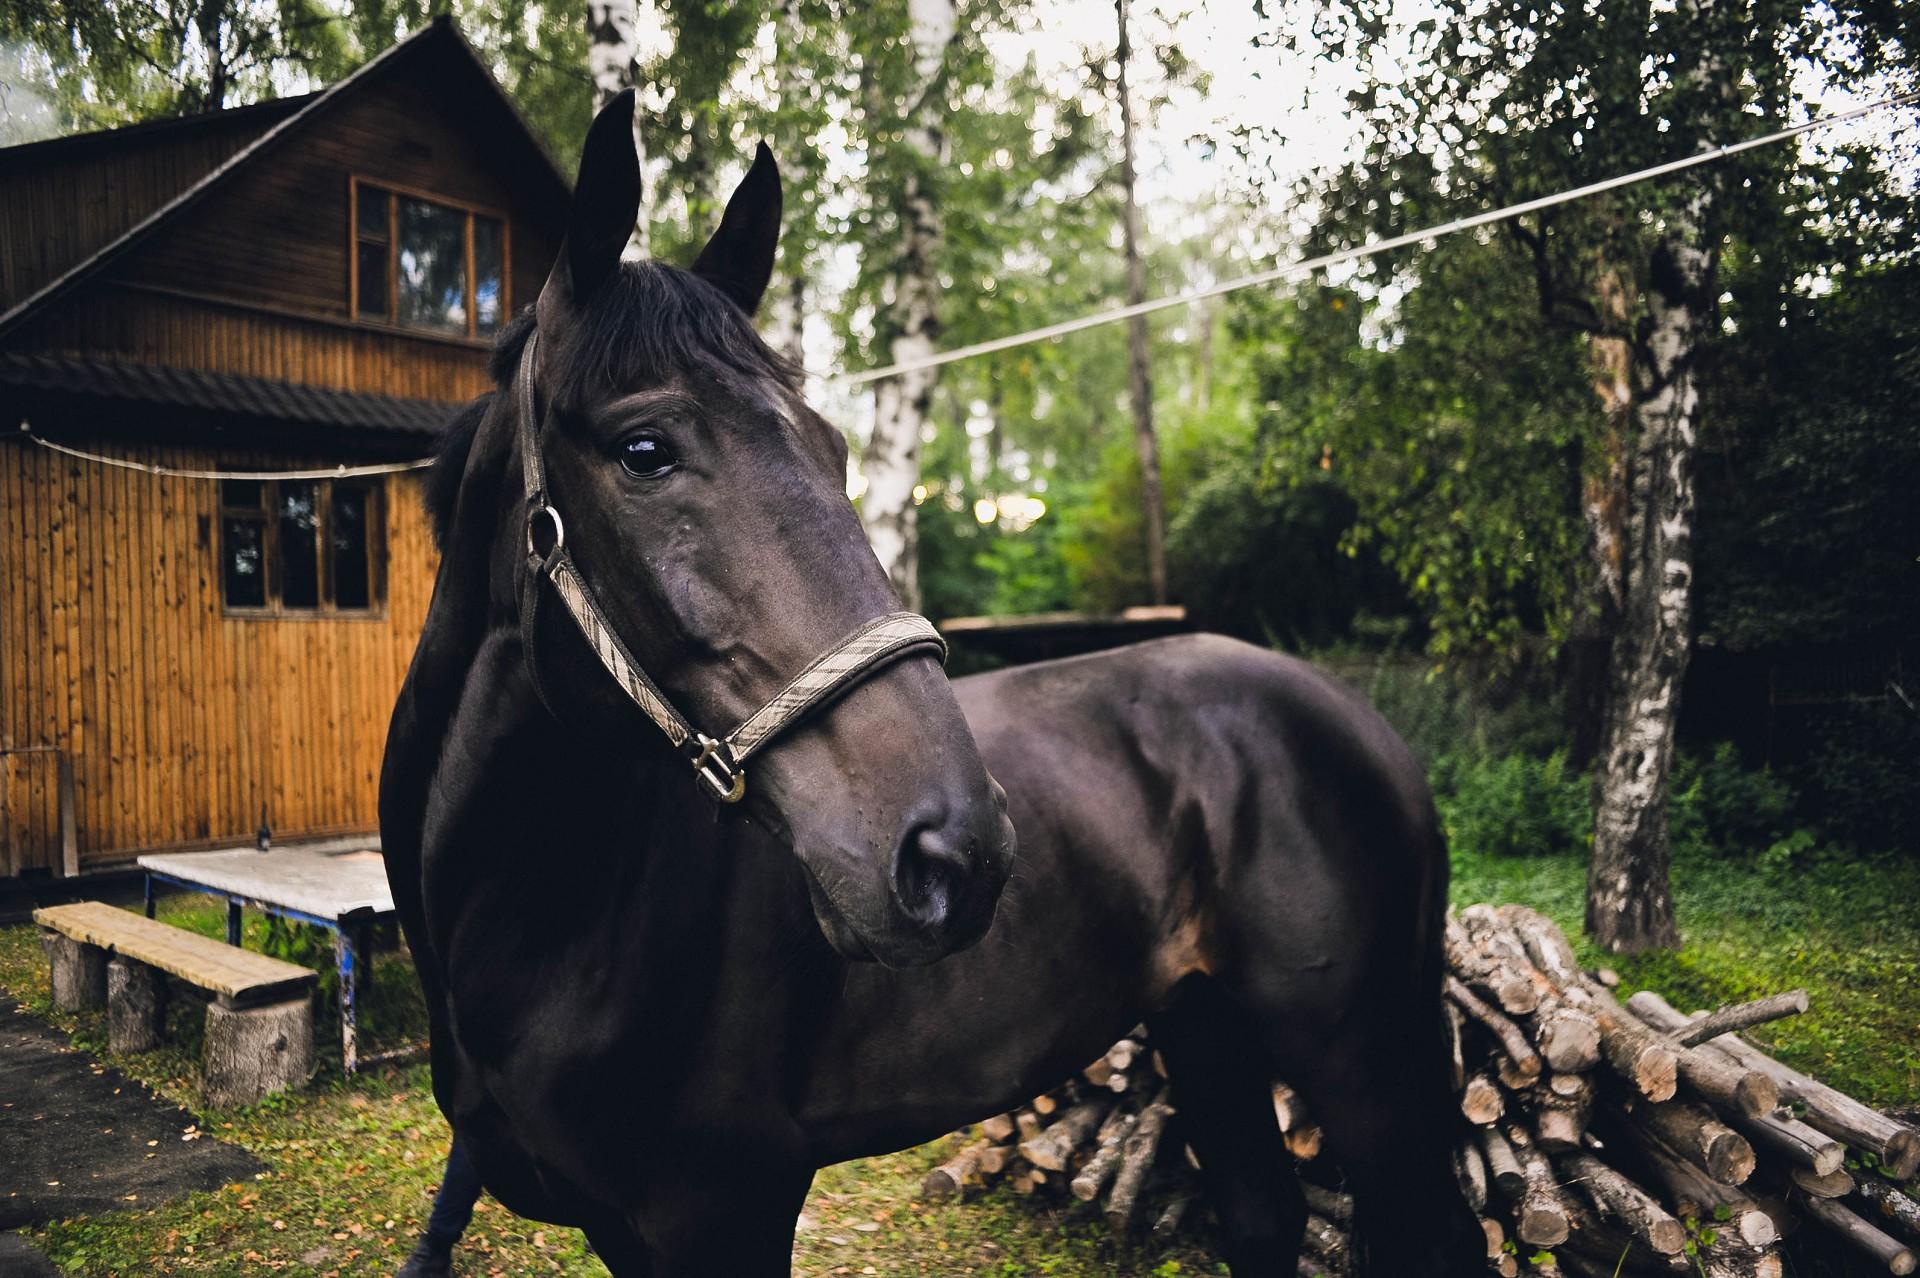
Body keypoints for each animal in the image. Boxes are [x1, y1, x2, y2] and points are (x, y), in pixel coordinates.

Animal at [378, 92, 1482, 1274]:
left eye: (831, 446)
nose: (961, 854)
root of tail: (1361, 720)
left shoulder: (723, 1209)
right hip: (1209, 1033)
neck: (539, 924)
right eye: (643, 448)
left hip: (1363, 1064)